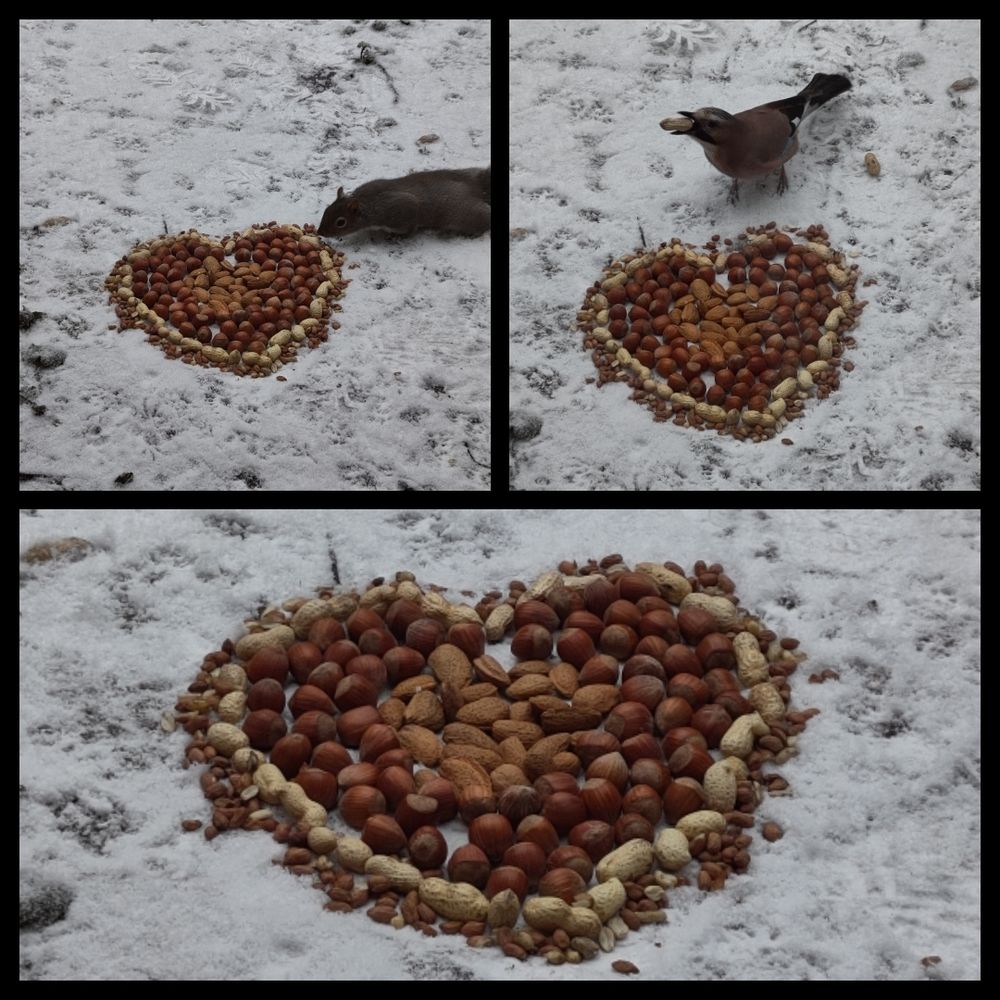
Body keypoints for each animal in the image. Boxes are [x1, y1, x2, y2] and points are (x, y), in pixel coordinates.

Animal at [317, 166, 491, 238]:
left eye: (341, 222)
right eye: (326, 211)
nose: (320, 233)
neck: (367, 202)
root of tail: (478, 187)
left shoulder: (399, 212)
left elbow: (410, 228)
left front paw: (398, 237)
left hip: (464, 215)